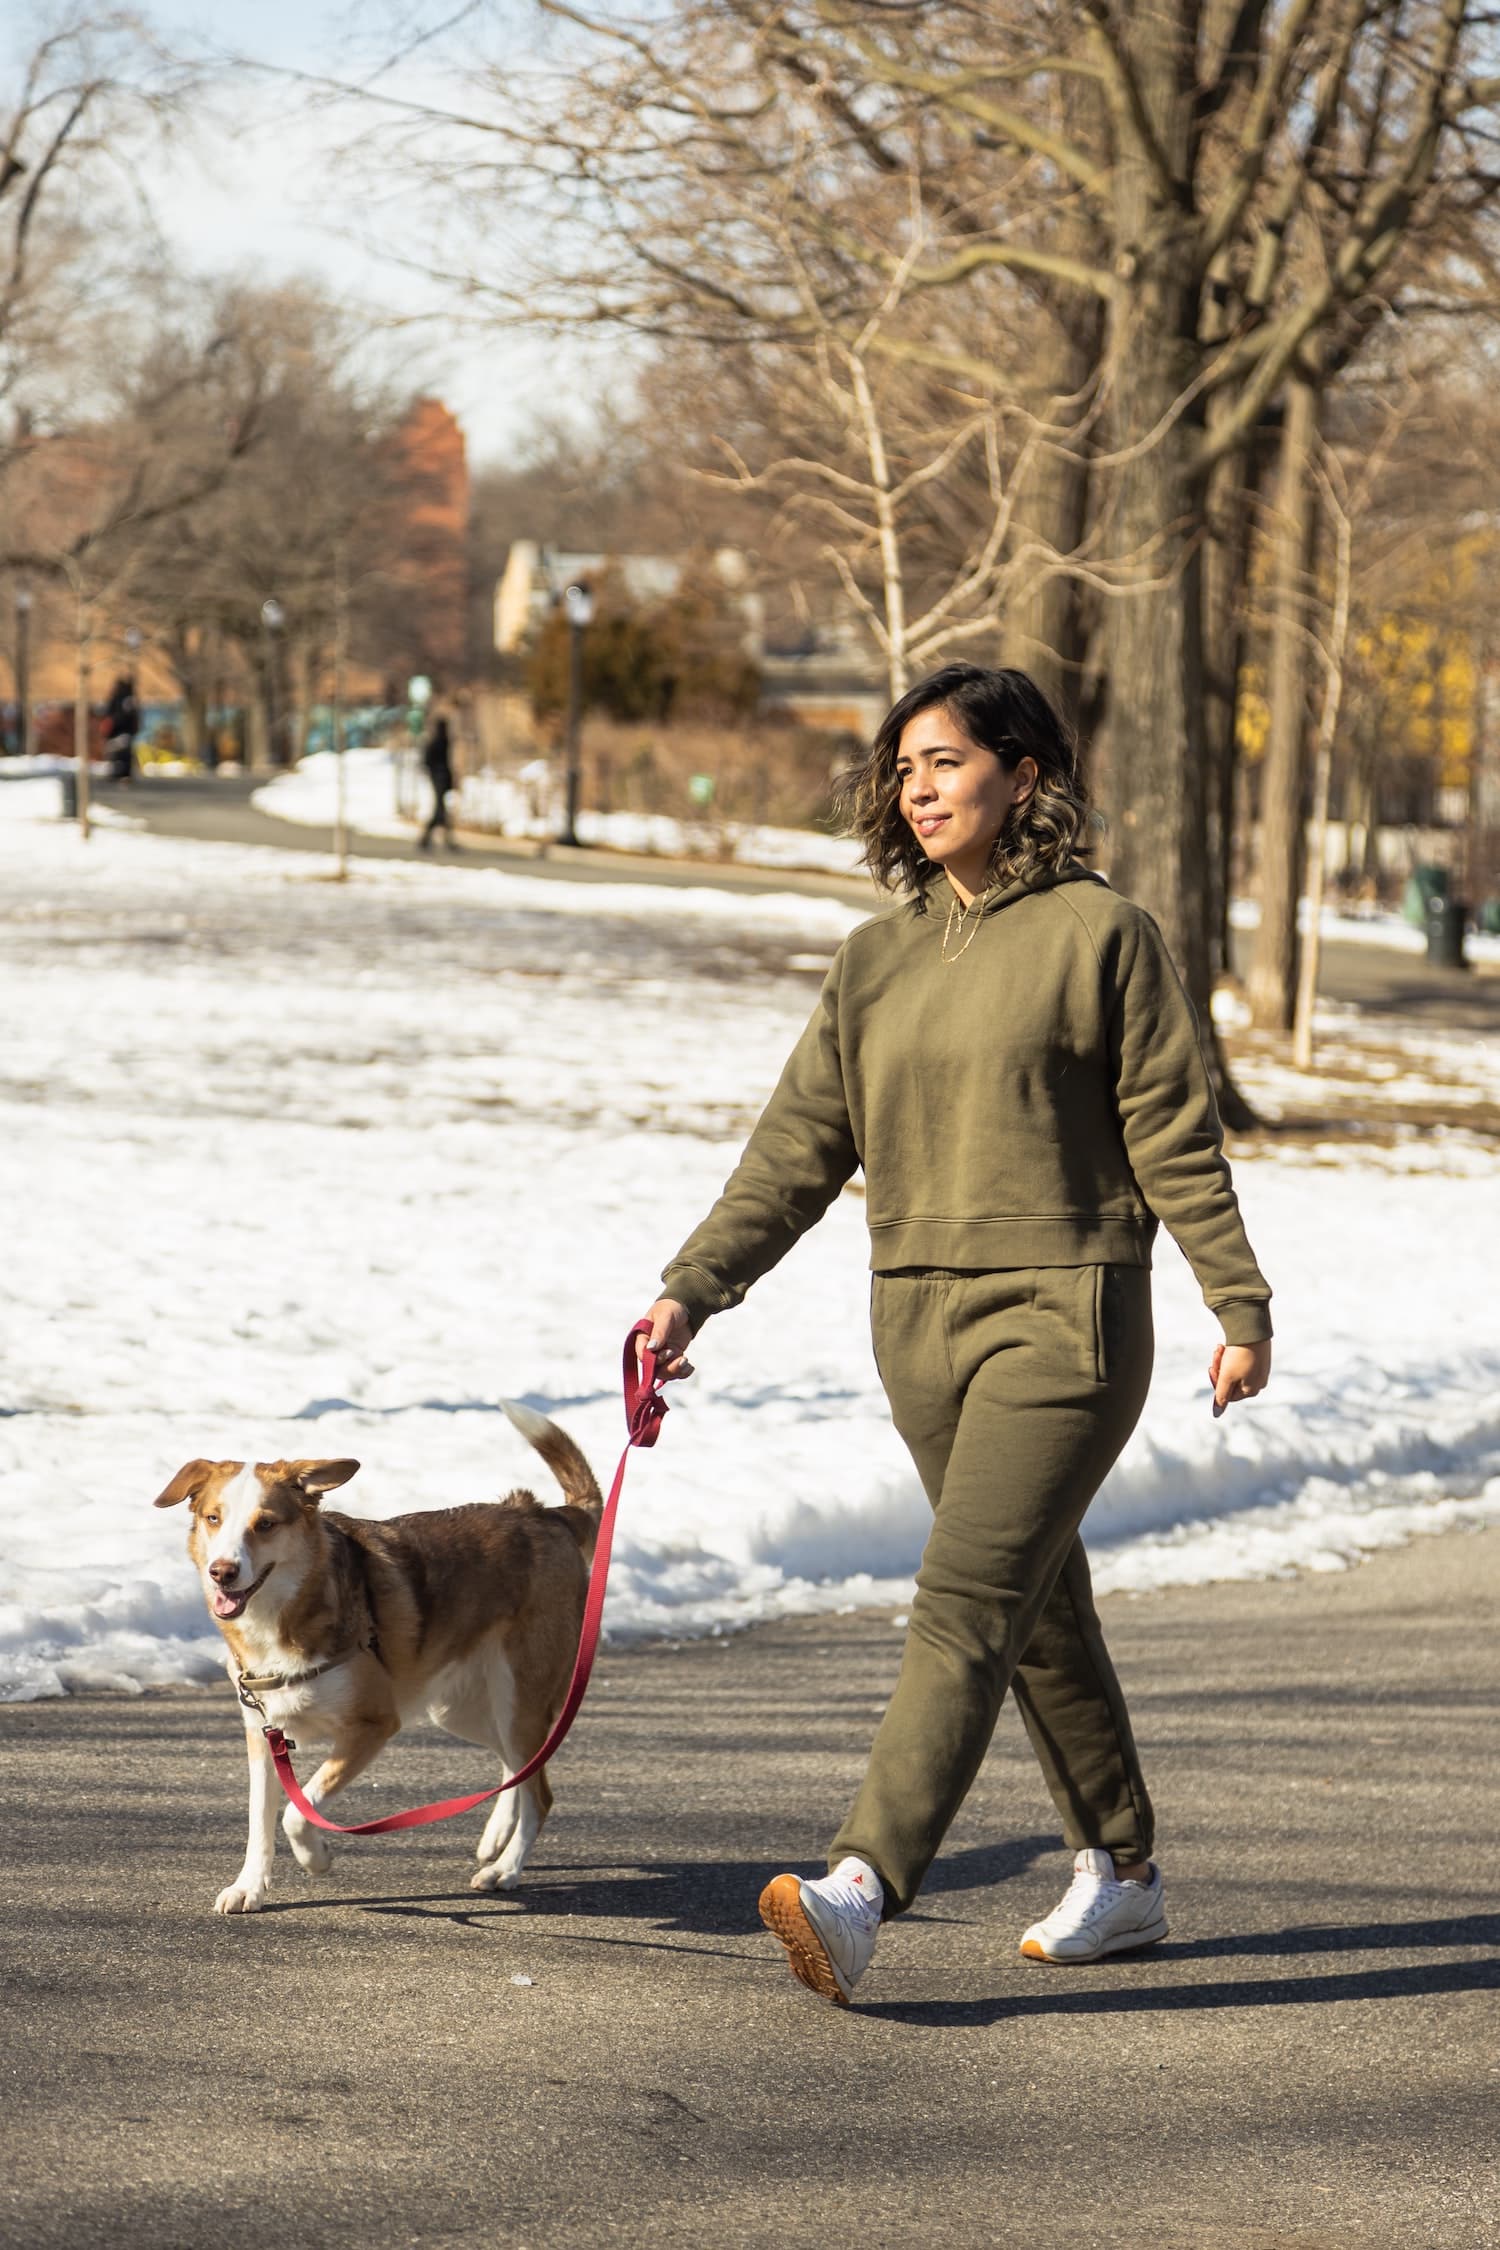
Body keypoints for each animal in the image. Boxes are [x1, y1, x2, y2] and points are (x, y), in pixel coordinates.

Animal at [152, 1404, 598, 1917]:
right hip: (463, 1709)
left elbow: (296, 1812)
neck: (284, 1613)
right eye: (213, 1518)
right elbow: (260, 1820)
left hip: (519, 1698)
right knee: (519, 1770)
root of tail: (546, 1516)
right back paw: (496, 1837)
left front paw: (317, 1858)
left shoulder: (373, 1726)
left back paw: (505, 1869)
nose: (221, 1572)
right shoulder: (264, 1736)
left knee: (539, 1793)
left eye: (265, 1524)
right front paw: (250, 1886)